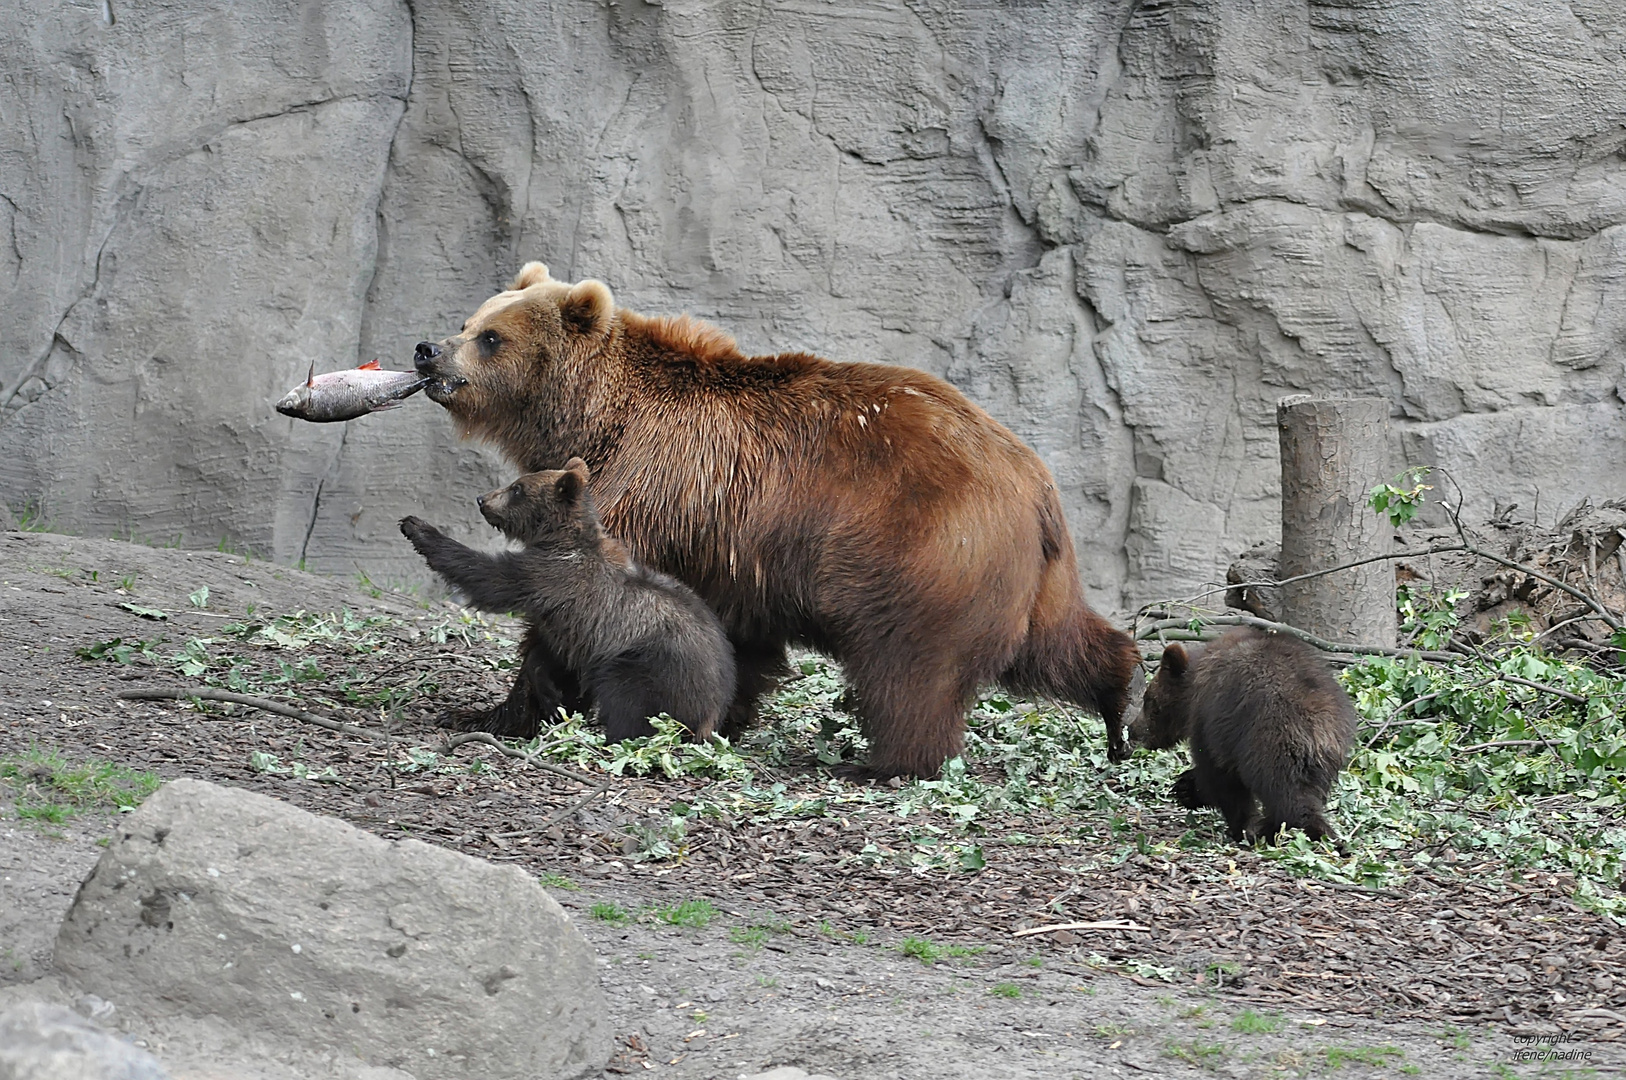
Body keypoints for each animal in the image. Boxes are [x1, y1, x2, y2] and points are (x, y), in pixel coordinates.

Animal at [399, 455, 738, 741]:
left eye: (518, 488)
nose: (483, 499)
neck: (559, 538)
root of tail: (714, 709)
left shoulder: (551, 578)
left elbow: (489, 577)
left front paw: (418, 528)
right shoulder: (568, 630)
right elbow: (548, 665)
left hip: (651, 666)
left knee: (629, 702)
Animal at [1125, 624, 1352, 845]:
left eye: (1148, 700)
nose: (1133, 730)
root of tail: (1318, 726)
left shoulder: (1210, 723)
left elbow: (1219, 778)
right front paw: (1184, 785)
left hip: (1272, 742)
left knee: (1289, 799)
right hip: (1324, 761)